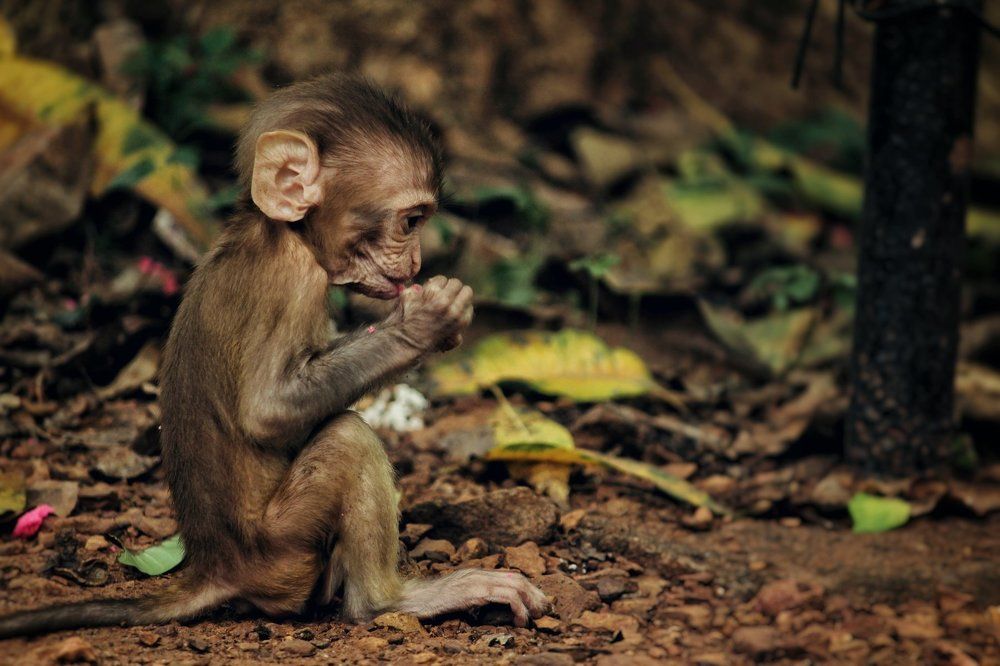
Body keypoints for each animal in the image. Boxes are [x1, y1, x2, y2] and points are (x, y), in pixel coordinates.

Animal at [0, 74, 549, 639]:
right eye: (411, 220)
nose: (416, 262)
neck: (279, 231)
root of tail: (217, 568)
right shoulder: (294, 279)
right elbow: (268, 410)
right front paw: (423, 324)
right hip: (281, 547)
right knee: (348, 439)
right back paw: (391, 601)